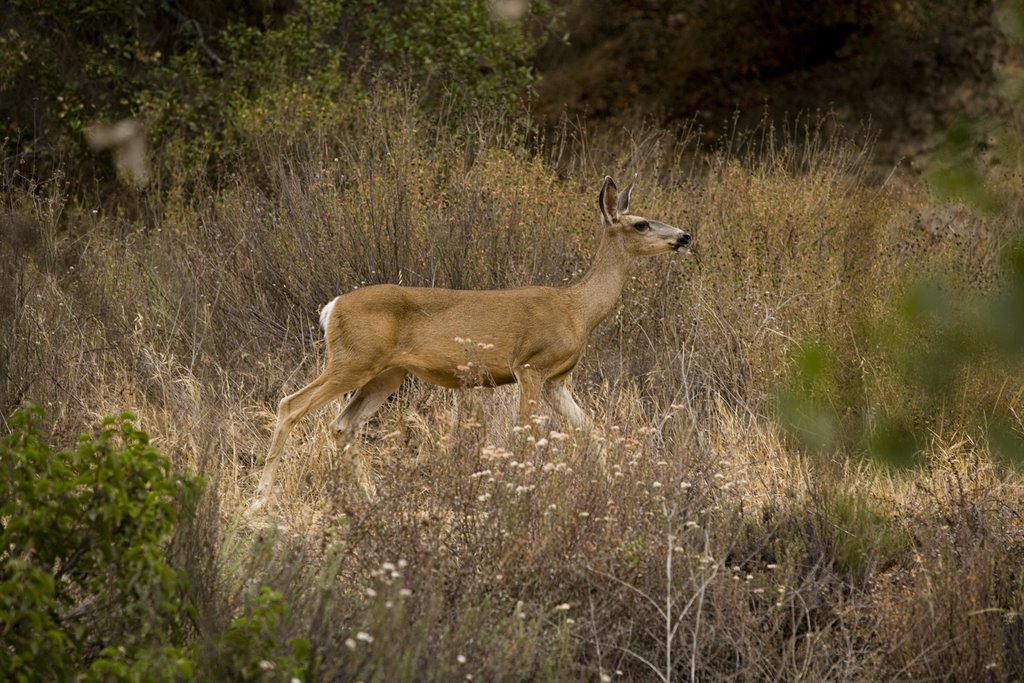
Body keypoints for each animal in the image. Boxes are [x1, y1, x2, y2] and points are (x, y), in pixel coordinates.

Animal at [253, 175, 688, 507]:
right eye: (642, 224)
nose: (684, 235)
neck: (576, 310)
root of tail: (332, 307)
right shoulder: (529, 365)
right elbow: (525, 434)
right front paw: (519, 493)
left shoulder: (557, 380)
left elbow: (591, 429)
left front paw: (611, 487)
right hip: (354, 358)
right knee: (291, 405)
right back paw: (260, 500)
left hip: (387, 373)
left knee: (344, 424)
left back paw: (371, 496)